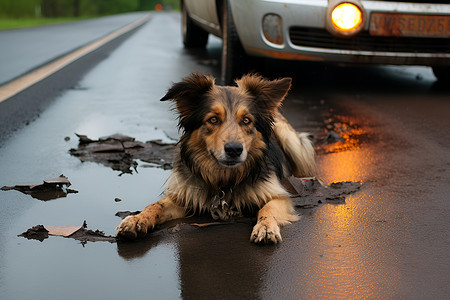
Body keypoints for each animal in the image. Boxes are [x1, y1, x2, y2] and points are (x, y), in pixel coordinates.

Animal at [114, 73, 314, 244]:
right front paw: (136, 219)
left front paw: (265, 227)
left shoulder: (278, 195)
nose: (234, 150)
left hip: (289, 137)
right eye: (213, 119)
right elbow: (155, 205)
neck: (224, 179)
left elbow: (268, 208)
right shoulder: (184, 196)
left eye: (246, 120)